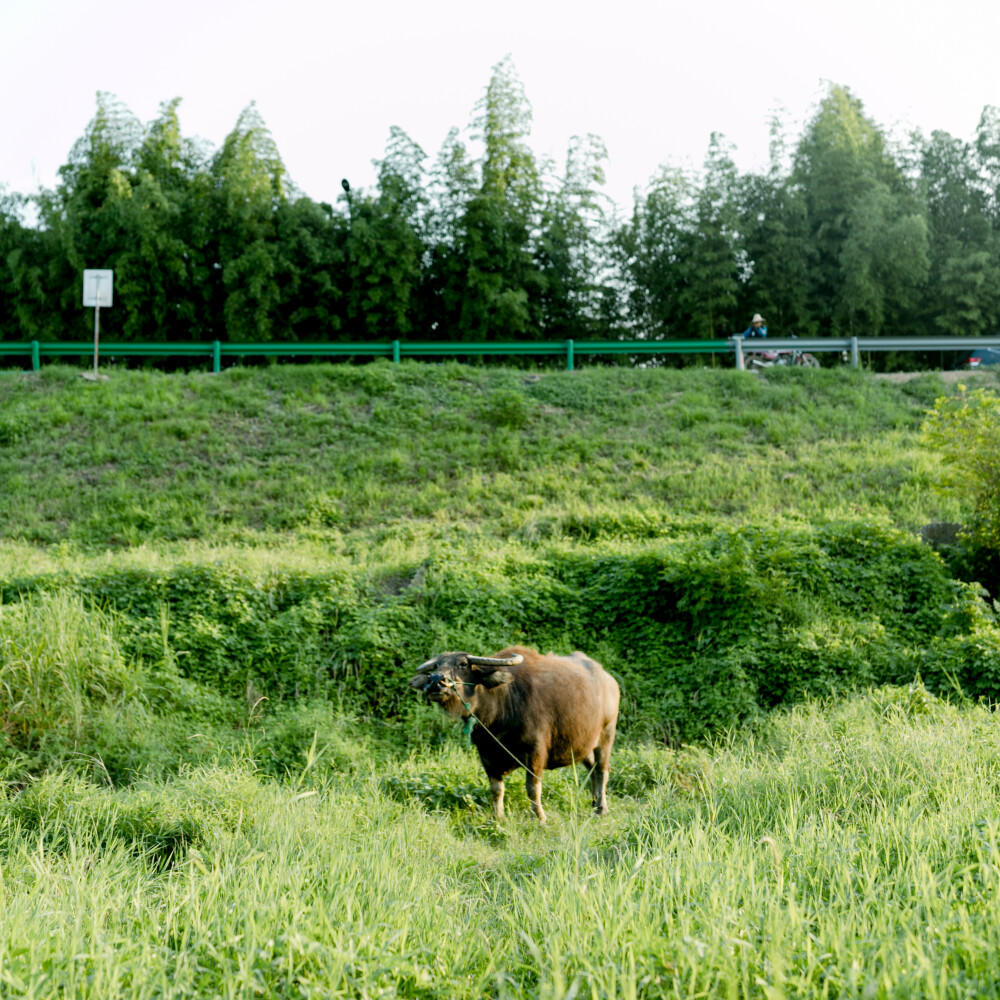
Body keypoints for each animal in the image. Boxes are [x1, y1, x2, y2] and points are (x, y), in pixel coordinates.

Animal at [406, 644, 616, 824]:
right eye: (437, 666)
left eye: (463, 664)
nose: (435, 681)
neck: (501, 707)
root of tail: (609, 679)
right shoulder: (486, 754)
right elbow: (496, 789)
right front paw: (496, 817)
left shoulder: (535, 751)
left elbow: (532, 788)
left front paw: (539, 818)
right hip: (584, 744)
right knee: (591, 767)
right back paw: (593, 801)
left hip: (606, 735)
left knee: (601, 770)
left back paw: (601, 808)